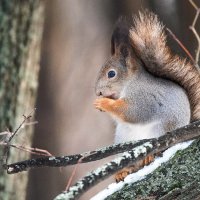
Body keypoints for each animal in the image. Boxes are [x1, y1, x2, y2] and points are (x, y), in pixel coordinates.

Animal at [93, 11, 200, 183]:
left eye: (111, 74)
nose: (98, 92)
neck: (130, 83)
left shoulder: (143, 96)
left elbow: (133, 112)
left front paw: (104, 103)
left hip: (160, 130)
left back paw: (150, 156)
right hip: (123, 139)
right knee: (132, 164)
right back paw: (124, 171)